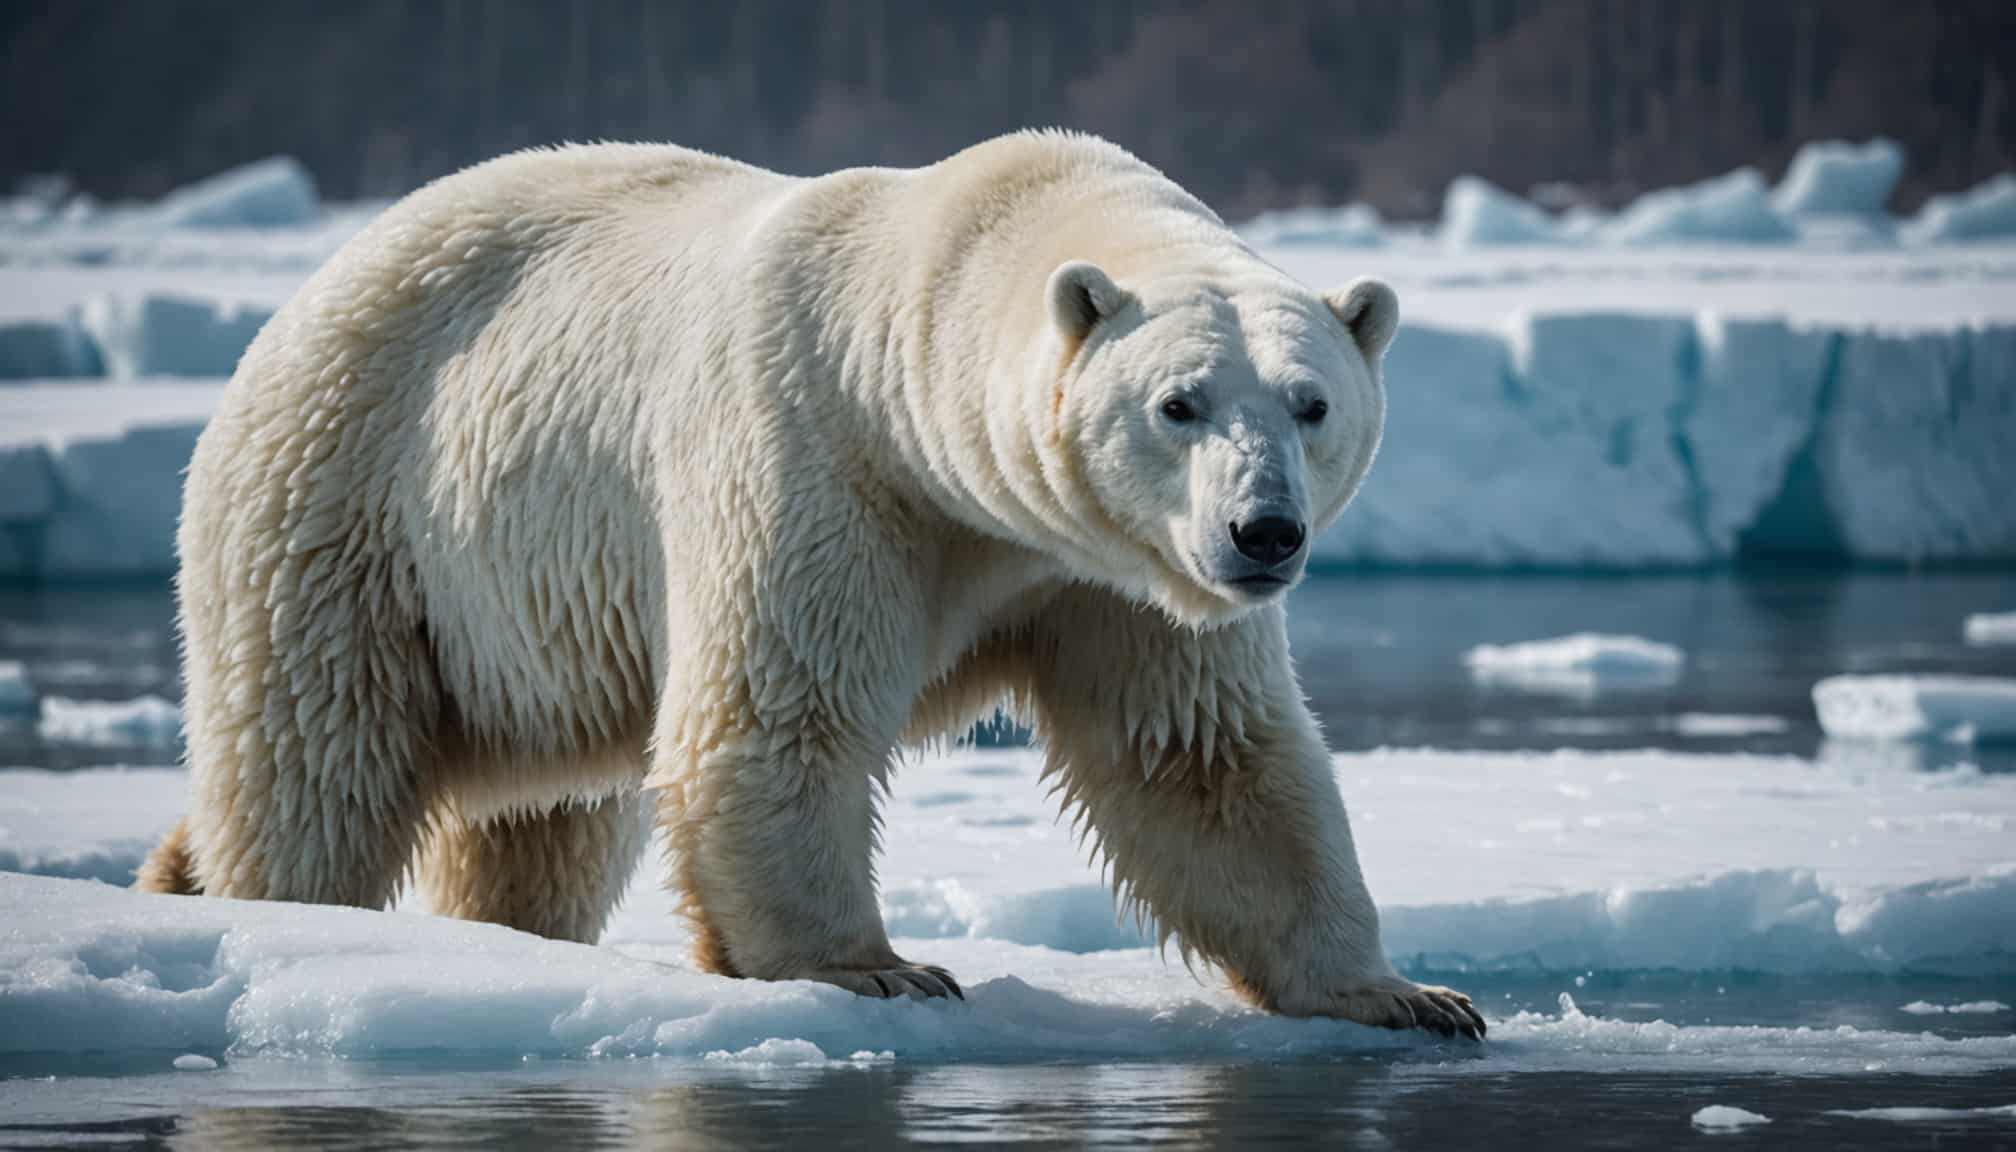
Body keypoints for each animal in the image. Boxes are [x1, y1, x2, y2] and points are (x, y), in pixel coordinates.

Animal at [134, 131, 1483, 1041]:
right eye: (1179, 403)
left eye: (1311, 403)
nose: (1264, 534)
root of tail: (316, 287)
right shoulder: (820, 463)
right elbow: (781, 713)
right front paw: (875, 969)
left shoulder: (1106, 570)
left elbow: (1198, 760)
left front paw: (1403, 993)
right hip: (351, 500)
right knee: (318, 762)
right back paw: (265, 909)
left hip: (522, 608)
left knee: (544, 815)